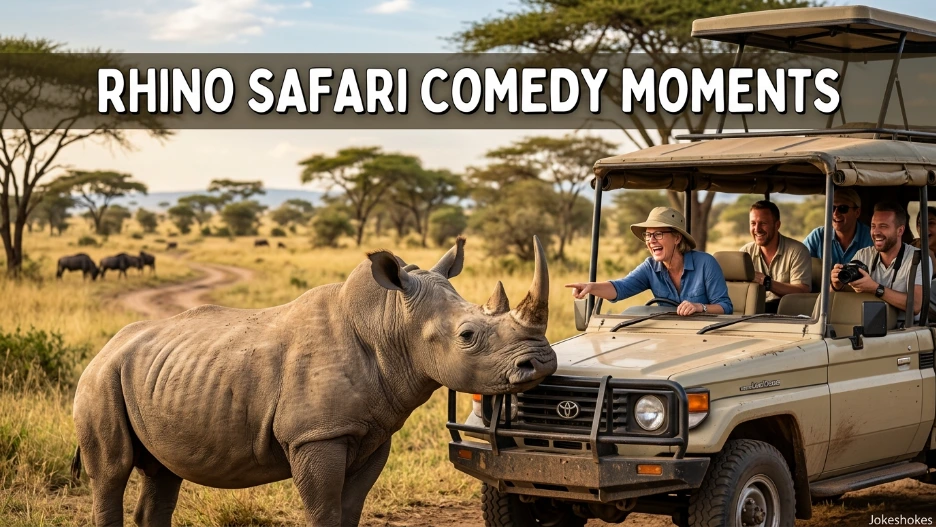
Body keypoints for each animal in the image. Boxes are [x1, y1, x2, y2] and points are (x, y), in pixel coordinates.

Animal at [72, 236, 556, 527]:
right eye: (467, 336)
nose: (542, 363)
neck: (389, 322)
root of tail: (104, 349)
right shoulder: (315, 435)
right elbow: (324, 510)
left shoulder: (372, 433)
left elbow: (350, 508)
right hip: (99, 381)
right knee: (111, 473)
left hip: (145, 375)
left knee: (162, 472)